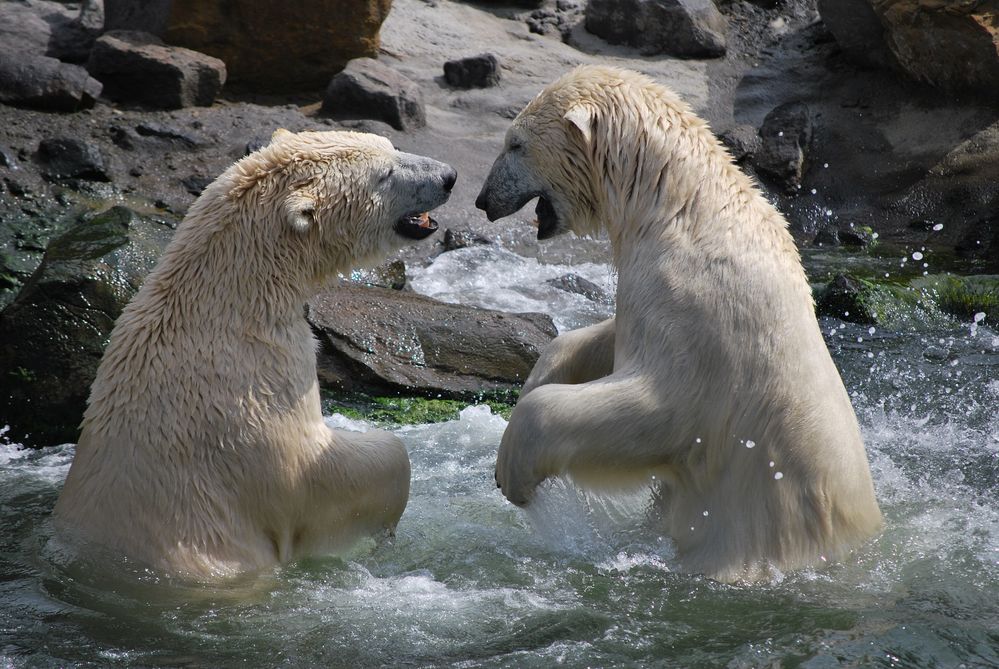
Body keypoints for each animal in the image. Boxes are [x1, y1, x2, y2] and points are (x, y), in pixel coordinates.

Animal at [53, 130, 458, 580]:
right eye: (384, 174)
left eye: (391, 145)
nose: (449, 176)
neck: (228, 303)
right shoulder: (259, 392)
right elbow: (327, 473)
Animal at [476, 65, 884, 580]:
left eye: (515, 143)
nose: (482, 199)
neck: (680, 205)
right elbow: (608, 332)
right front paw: (537, 376)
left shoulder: (697, 307)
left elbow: (660, 404)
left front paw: (512, 469)